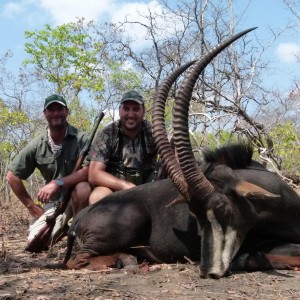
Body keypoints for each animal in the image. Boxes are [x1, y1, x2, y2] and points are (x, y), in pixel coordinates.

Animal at [64, 29, 300, 278]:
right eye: (195, 215)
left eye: (223, 208)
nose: (208, 271)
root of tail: (78, 219)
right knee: (76, 260)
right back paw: (125, 260)